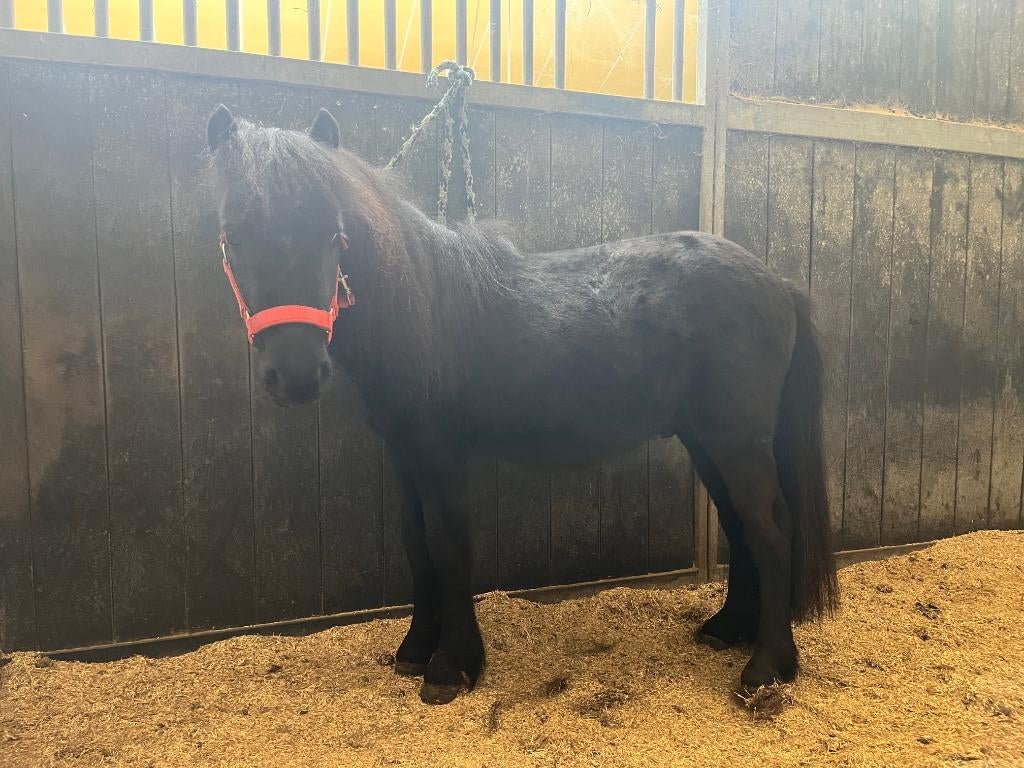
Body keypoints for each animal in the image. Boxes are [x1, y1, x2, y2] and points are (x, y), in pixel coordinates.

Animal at [204, 104, 838, 705]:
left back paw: (767, 667)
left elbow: (449, 546)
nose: (295, 375)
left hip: (736, 439)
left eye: (334, 236)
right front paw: (413, 650)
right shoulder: (405, 454)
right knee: (740, 525)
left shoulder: (442, 454)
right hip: (705, 438)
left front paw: (450, 667)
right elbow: (416, 545)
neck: (425, 311)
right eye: (233, 235)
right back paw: (728, 629)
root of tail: (779, 285)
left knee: (769, 528)